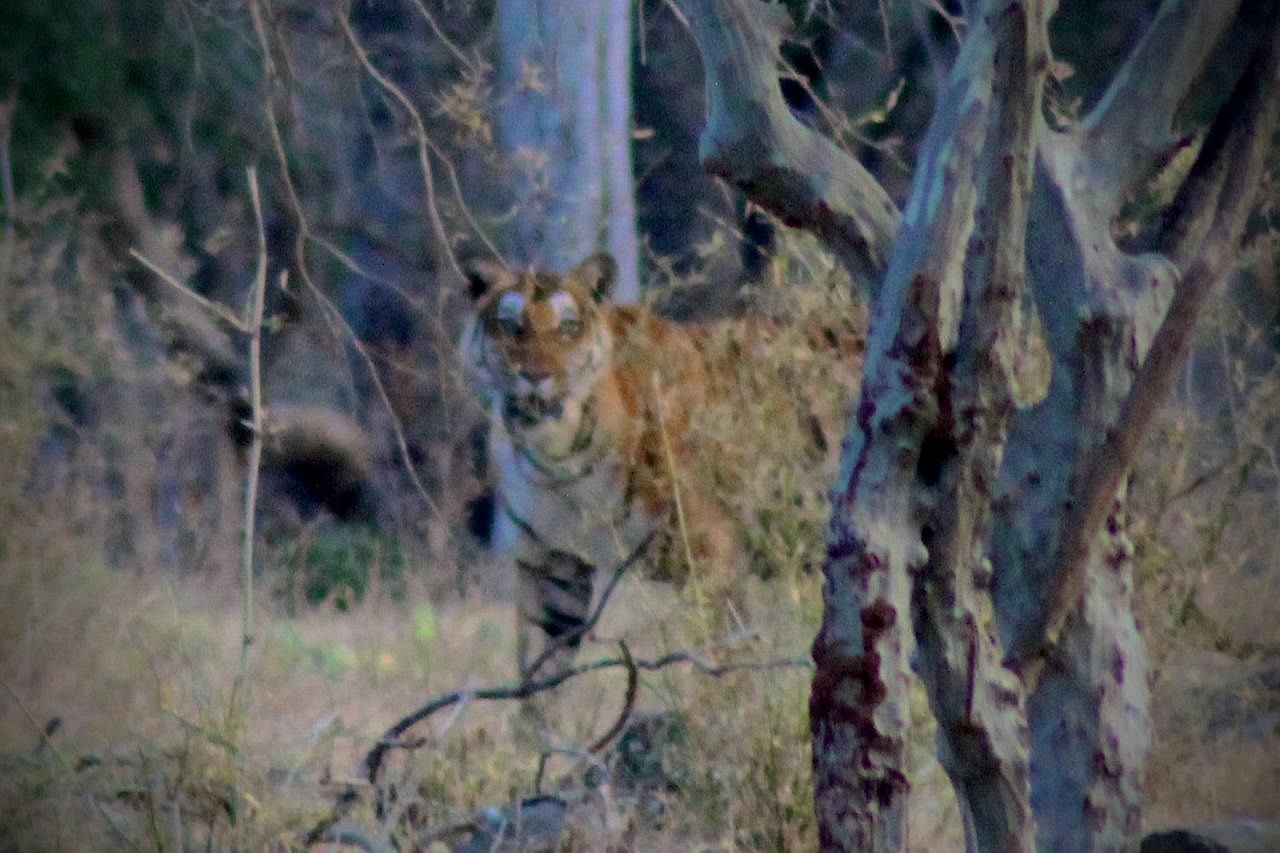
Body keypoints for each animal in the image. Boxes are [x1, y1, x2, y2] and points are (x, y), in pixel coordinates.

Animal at [460, 249, 860, 681]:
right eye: (510, 326)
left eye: (568, 327)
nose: (535, 376)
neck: (558, 458)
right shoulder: (548, 568)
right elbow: (538, 678)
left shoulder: (710, 556)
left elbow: (721, 662)